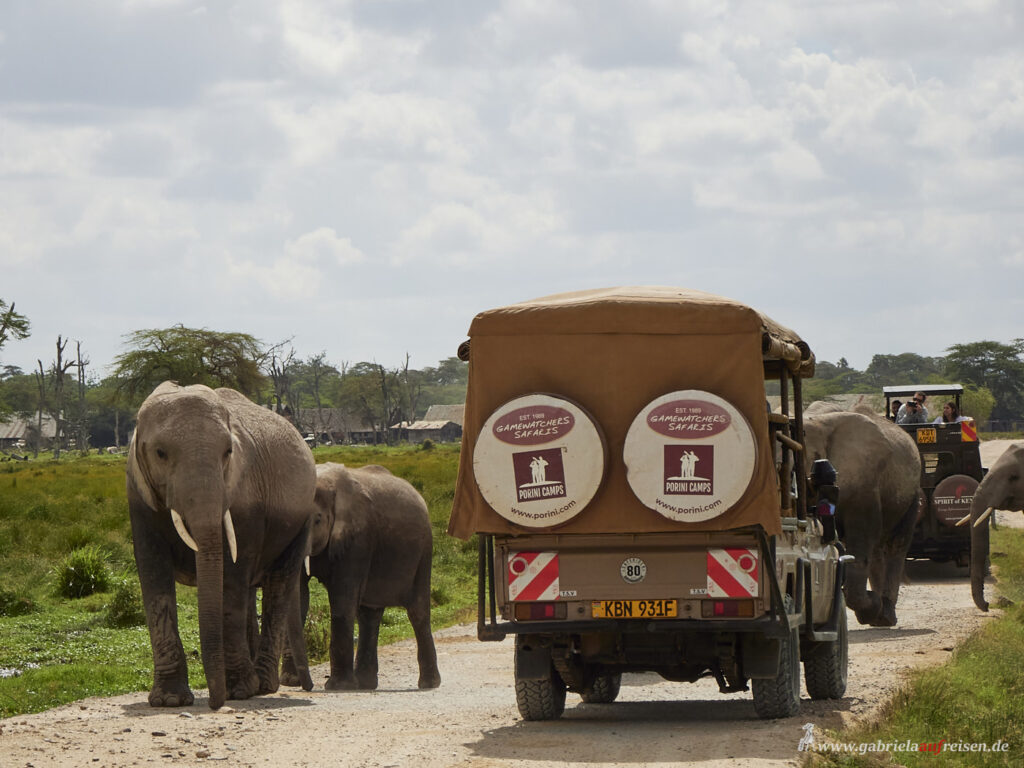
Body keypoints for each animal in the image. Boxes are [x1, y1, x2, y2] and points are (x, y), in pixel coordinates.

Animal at [126, 381, 316, 709]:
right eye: (160, 453)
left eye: (228, 452)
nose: (216, 704)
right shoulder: (138, 496)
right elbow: (154, 577)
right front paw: (169, 701)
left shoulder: (246, 498)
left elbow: (233, 576)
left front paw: (238, 692)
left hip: (300, 518)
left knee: (279, 582)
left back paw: (263, 685)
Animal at [281, 462, 441, 691]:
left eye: (317, 520)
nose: (308, 686)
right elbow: (300, 597)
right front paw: (290, 682)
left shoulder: (358, 538)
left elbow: (342, 602)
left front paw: (338, 687)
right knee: (369, 616)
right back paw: (365, 684)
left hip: (424, 551)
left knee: (417, 612)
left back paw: (429, 684)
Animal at [803, 411, 922, 626]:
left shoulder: (864, 481)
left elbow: (862, 537)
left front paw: (871, 606)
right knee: (877, 549)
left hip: (912, 496)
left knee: (896, 544)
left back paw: (885, 616)